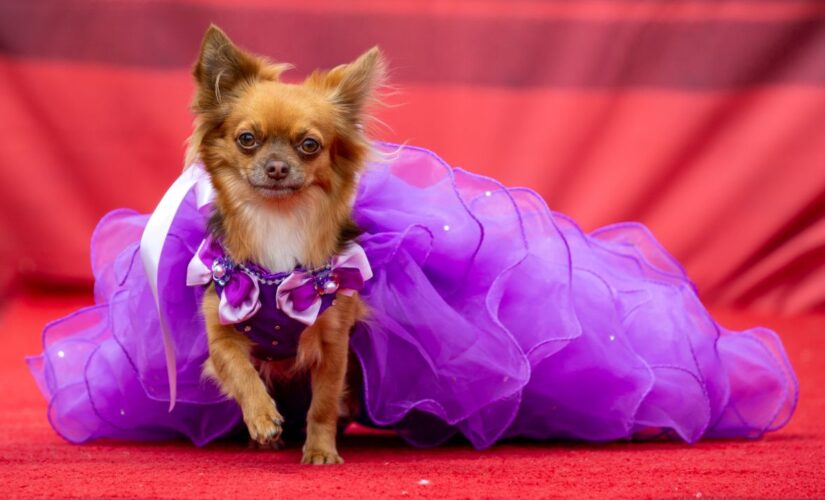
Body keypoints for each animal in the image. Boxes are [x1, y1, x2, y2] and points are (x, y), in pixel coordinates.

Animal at [188, 25, 382, 464]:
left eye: (309, 145)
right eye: (246, 138)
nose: (276, 167)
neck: (278, 220)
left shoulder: (333, 343)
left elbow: (324, 403)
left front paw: (321, 450)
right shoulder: (220, 332)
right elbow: (240, 370)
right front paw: (261, 418)